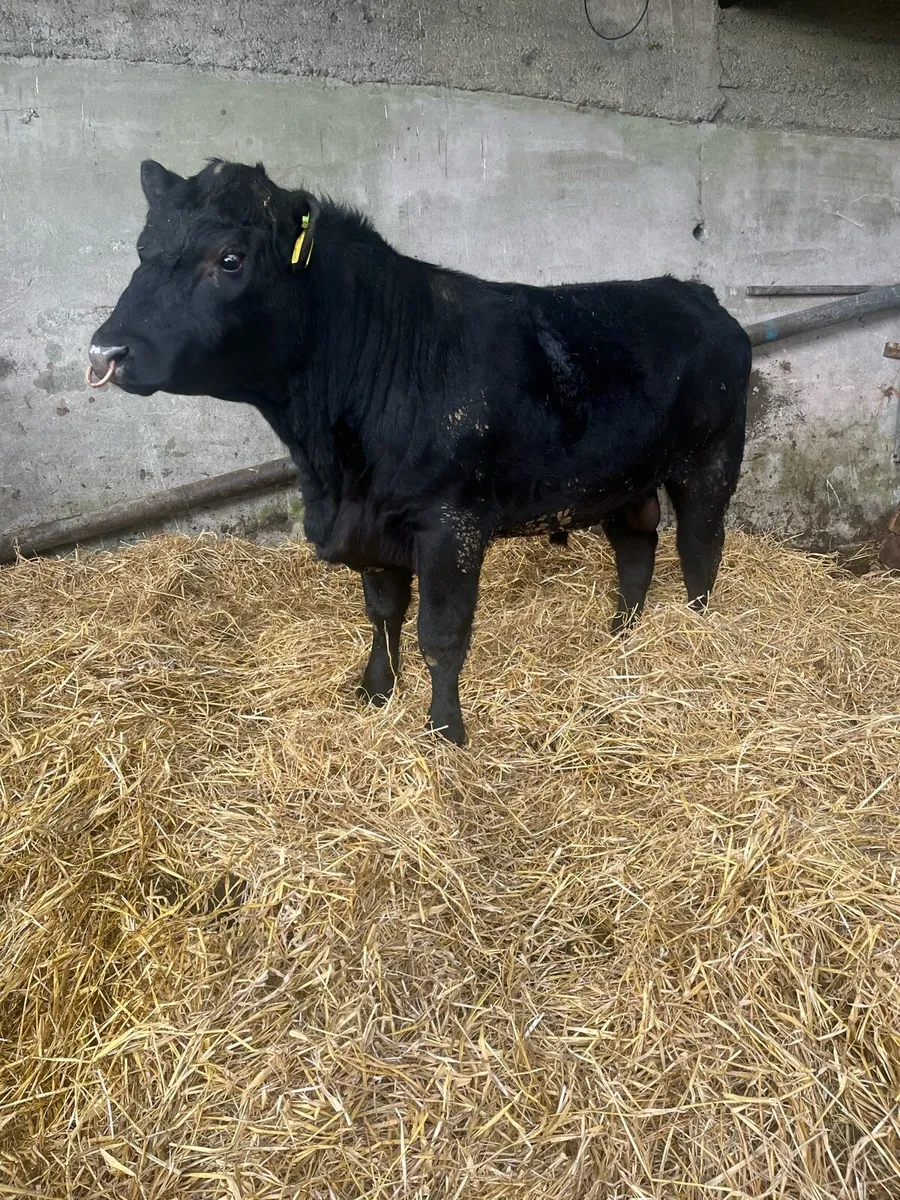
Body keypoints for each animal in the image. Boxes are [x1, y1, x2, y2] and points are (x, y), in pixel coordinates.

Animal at [88, 159, 751, 746]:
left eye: (229, 258)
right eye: (143, 249)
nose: (105, 351)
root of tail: (692, 291)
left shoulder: (450, 524)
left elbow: (441, 633)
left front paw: (444, 731)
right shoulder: (372, 524)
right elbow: (383, 615)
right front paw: (375, 691)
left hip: (710, 459)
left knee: (700, 549)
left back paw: (695, 631)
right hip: (623, 478)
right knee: (637, 546)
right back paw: (619, 636)